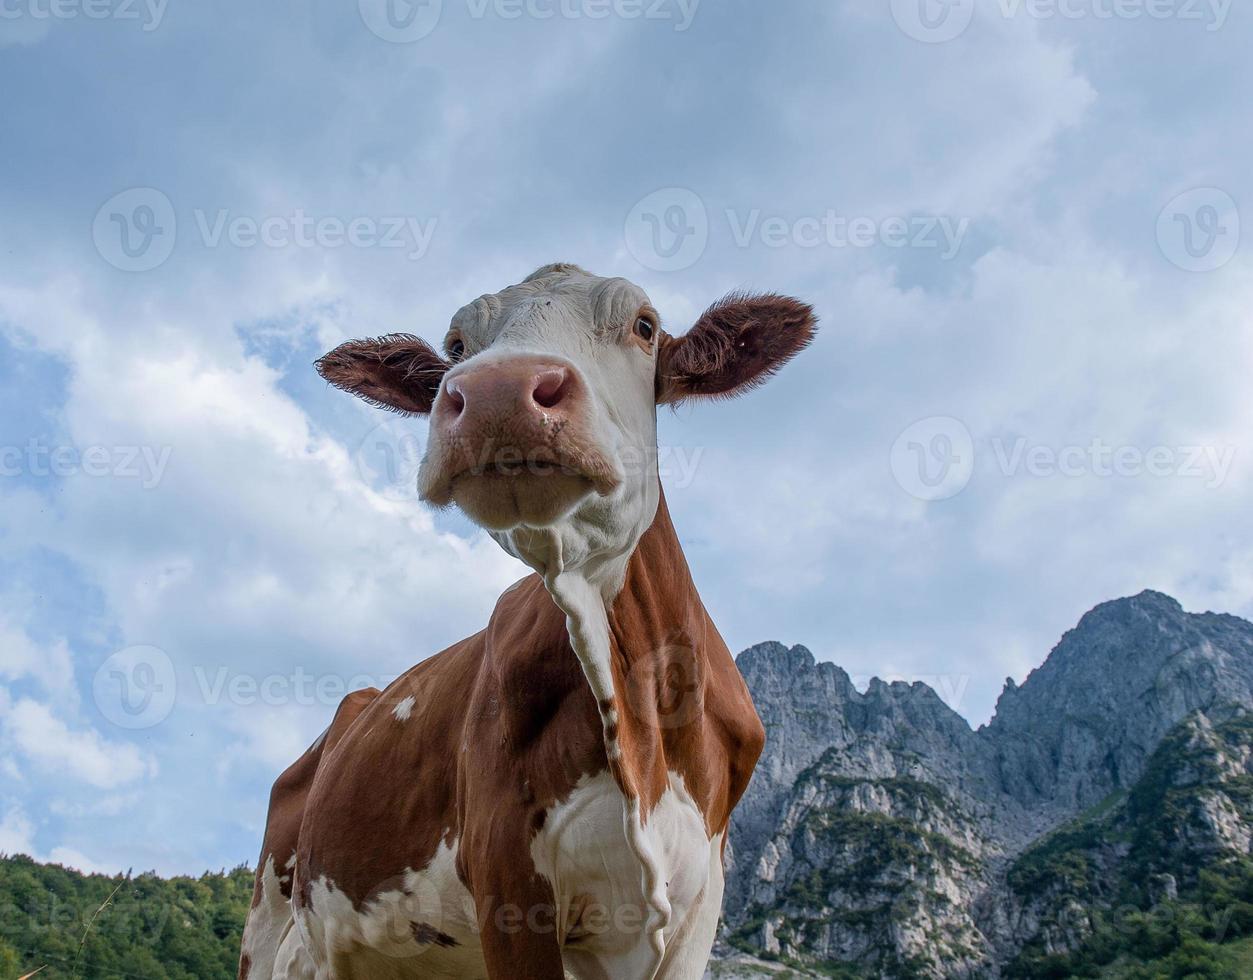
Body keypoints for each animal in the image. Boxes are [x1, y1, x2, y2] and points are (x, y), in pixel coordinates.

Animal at [239, 263, 816, 980]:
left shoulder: (698, 903)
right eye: (457, 345)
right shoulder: (506, 874)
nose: (497, 392)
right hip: (268, 922)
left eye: (644, 326)